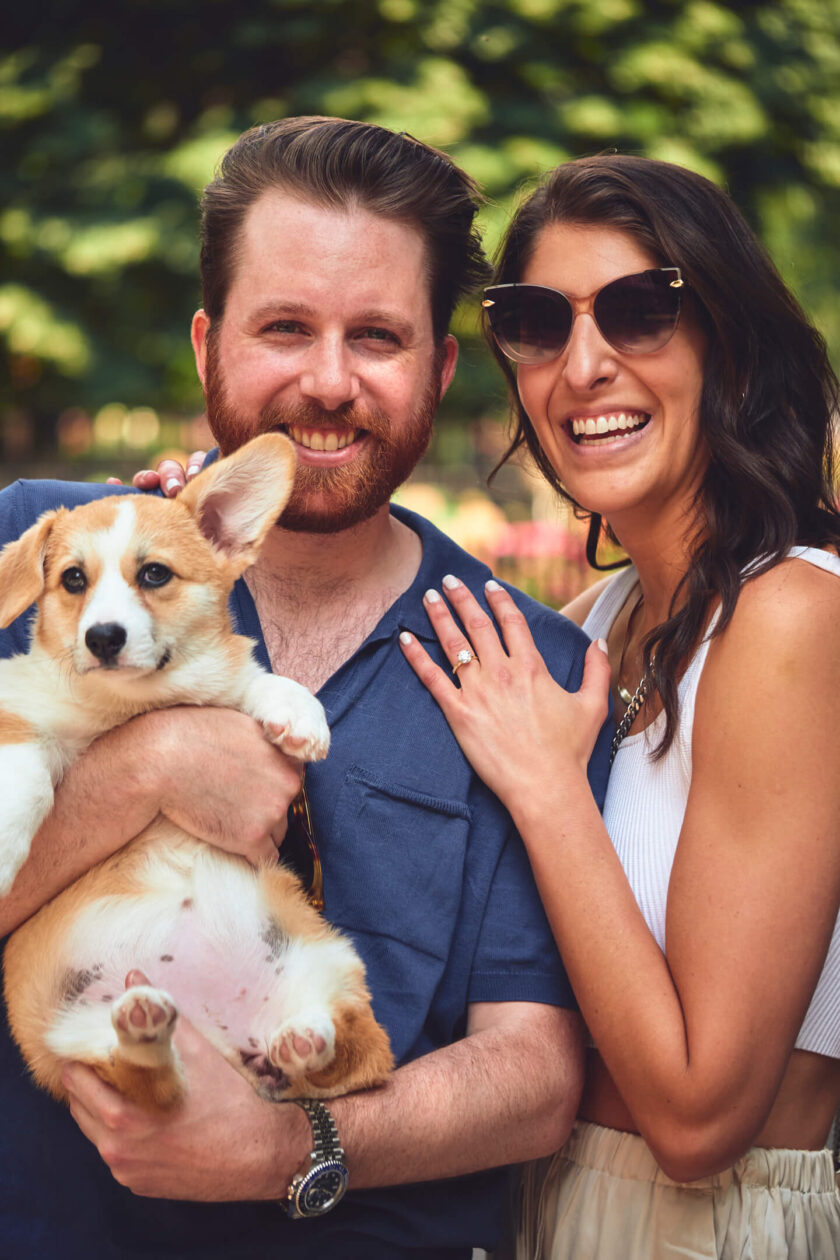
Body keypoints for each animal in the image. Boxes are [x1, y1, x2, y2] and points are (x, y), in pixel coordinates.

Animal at [0, 435, 395, 1113]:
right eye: (73, 579)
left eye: (155, 574)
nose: (103, 638)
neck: (132, 705)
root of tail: (235, 1044)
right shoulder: (19, 710)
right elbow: (26, 769)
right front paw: (3, 847)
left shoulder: (221, 685)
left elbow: (255, 677)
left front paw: (300, 717)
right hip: (71, 1047)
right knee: (150, 1081)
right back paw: (148, 1027)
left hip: (329, 961)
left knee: (345, 1045)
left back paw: (302, 1040)